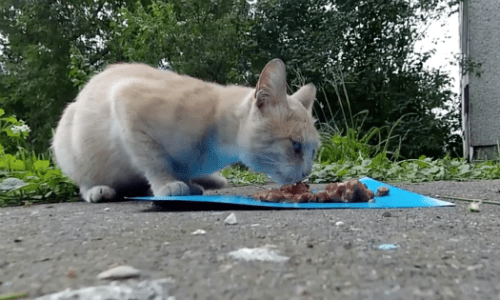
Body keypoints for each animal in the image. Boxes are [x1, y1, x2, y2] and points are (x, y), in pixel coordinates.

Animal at [51, 58, 320, 203]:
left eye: (314, 151)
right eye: (295, 146)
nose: (307, 172)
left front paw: (188, 184)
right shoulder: (127, 104)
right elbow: (155, 162)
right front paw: (168, 185)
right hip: (68, 141)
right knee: (84, 181)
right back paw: (98, 190)